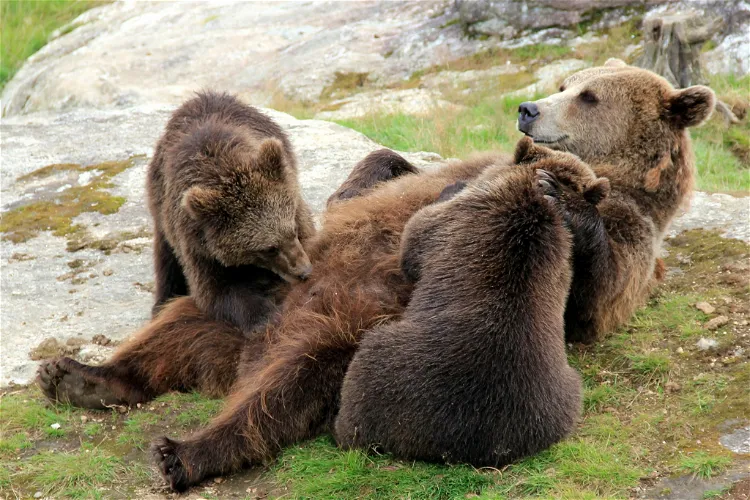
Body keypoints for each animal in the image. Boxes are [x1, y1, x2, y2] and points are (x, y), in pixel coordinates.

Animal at [147, 91, 315, 332]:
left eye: (292, 230)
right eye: (268, 248)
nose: (303, 271)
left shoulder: (292, 198)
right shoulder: (198, 243)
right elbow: (216, 290)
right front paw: (264, 317)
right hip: (159, 204)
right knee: (166, 259)